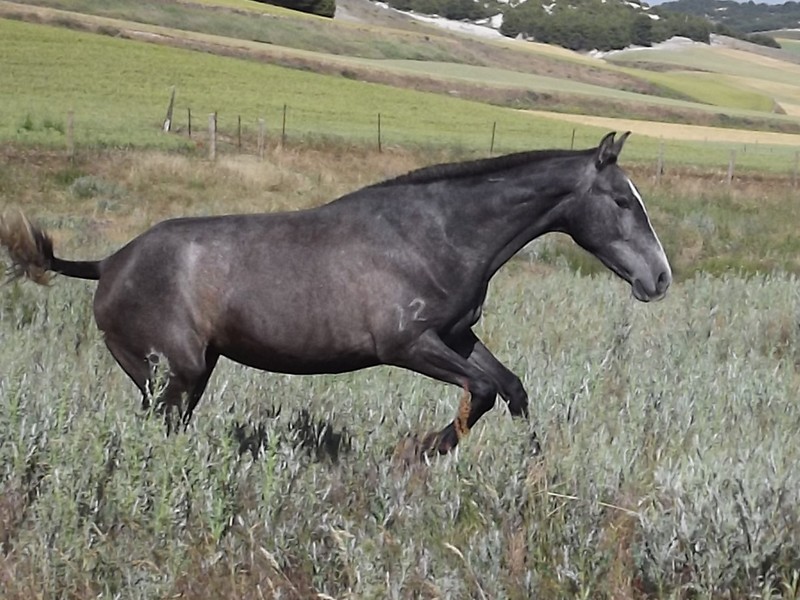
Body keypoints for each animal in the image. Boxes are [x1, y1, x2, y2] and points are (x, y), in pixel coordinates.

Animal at [0, 132, 671, 456]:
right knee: (160, 426)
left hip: (193, 371)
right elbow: (480, 392)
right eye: (621, 200)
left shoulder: (455, 336)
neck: (438, 232)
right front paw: (417, 450)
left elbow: (510, 389)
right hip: (173, 370)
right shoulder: (406, 345)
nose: (659, 278)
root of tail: (109, 262)